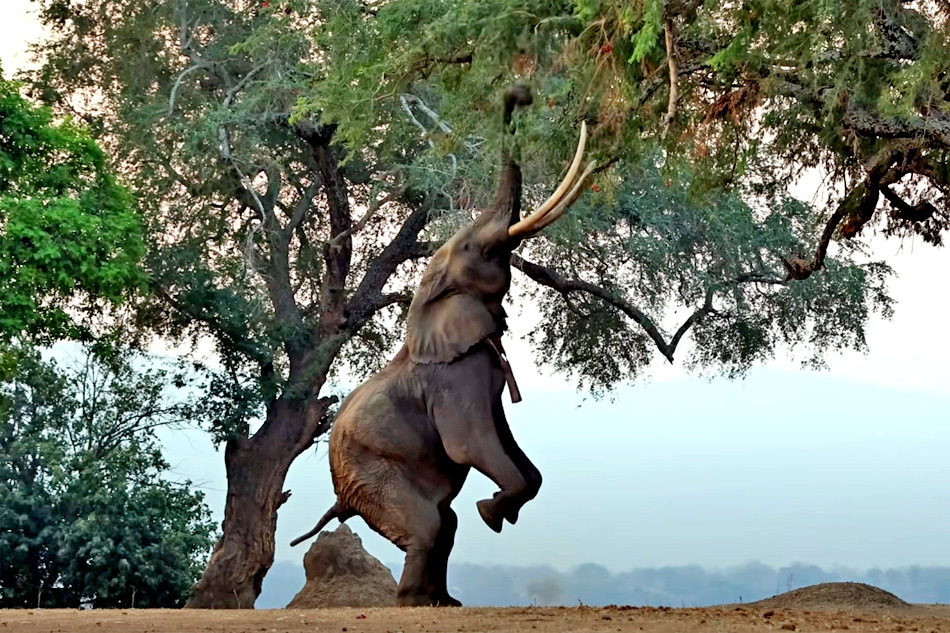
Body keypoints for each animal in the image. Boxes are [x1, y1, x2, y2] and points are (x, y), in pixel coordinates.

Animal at [291, 85, 594, 607]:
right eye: (479, 250)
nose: (520, 94)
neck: (428, 298)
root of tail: (340, 497)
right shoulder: (454, 379)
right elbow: (469, 443)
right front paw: (491, 513)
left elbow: (504, 442)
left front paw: (498, 510)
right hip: (371, 474)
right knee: (430, 524)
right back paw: (413, 601)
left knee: (444, 523)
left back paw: (444, 602)